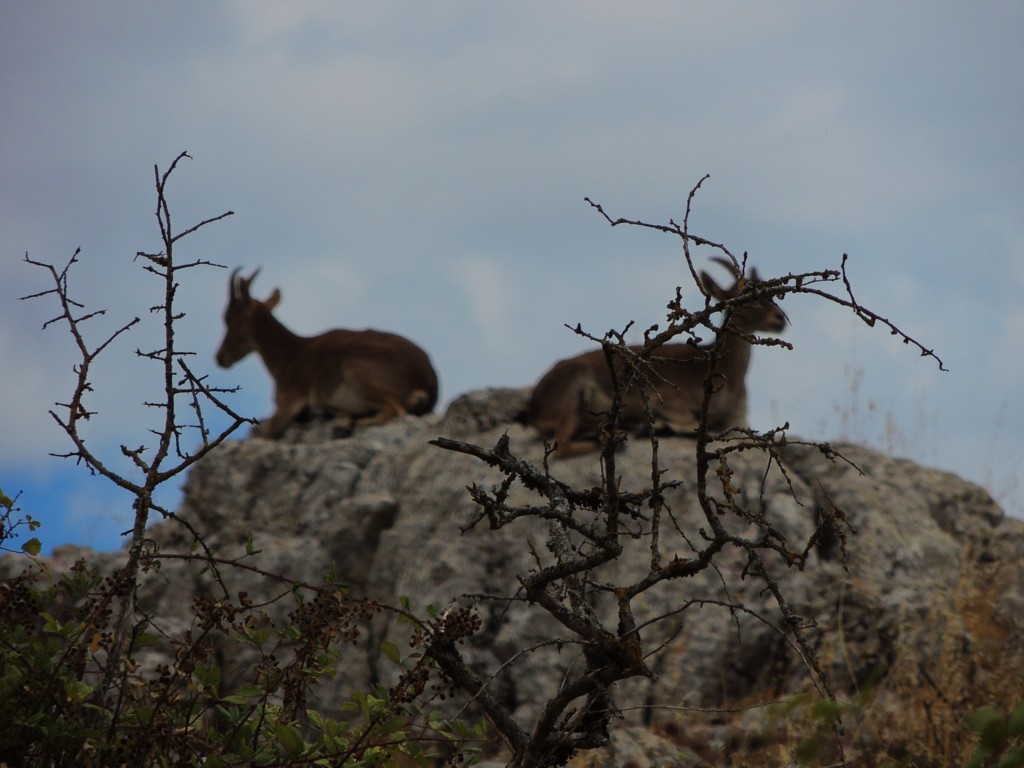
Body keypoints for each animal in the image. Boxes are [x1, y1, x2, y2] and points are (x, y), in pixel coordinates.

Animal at [214, 268, 438, 438]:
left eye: (229, 317)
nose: (220, 357)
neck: (287, 356)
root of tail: (425, 384)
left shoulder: (289, 399)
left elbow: (266, 432)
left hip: (355, 369)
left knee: (395, 410)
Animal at [524, 262, 786, 460]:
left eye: (770, 295)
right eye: (742, 298)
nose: (779, 319)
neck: (727, 372)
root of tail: (535, 404)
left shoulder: (738, 418)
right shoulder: (667, 399)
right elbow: (690, 421)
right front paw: (658, 426)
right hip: (572, 392)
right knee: (561, 446)